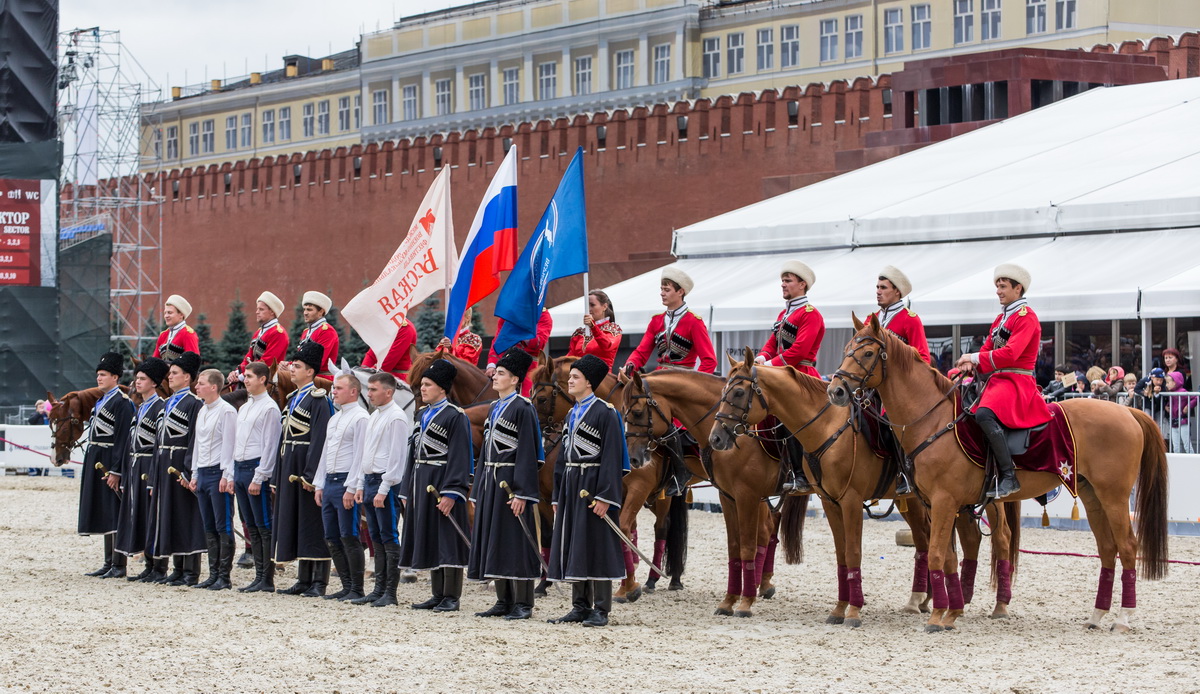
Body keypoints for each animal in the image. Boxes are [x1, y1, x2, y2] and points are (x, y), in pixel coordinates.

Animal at [705, 348, 1017, 624]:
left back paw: (996, 606)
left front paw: (852, 611)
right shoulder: (824, 500)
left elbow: (851, 551)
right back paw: (931, 600)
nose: (717, 437)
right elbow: (839, 554)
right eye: (722, 392)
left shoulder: (845, 500)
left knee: (1000, 538)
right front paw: (840, 608)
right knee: (946, 540)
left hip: (977, 499)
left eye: (738, 392)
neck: (827, 426)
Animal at [830, 312, 1166, 633]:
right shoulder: (937, 504)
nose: (836, 390)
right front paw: (950, 613)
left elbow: (937, 554)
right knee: (1108, 549)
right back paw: (1096, 615)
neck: (932, 420)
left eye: (868, 352)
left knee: (1128, 546)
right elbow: (949, 557)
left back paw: (1123, 618)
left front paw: (937, 616)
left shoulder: (943, 501)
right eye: (846, 350)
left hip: (1114, 497)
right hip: (1091, 495)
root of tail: (1128, 411)